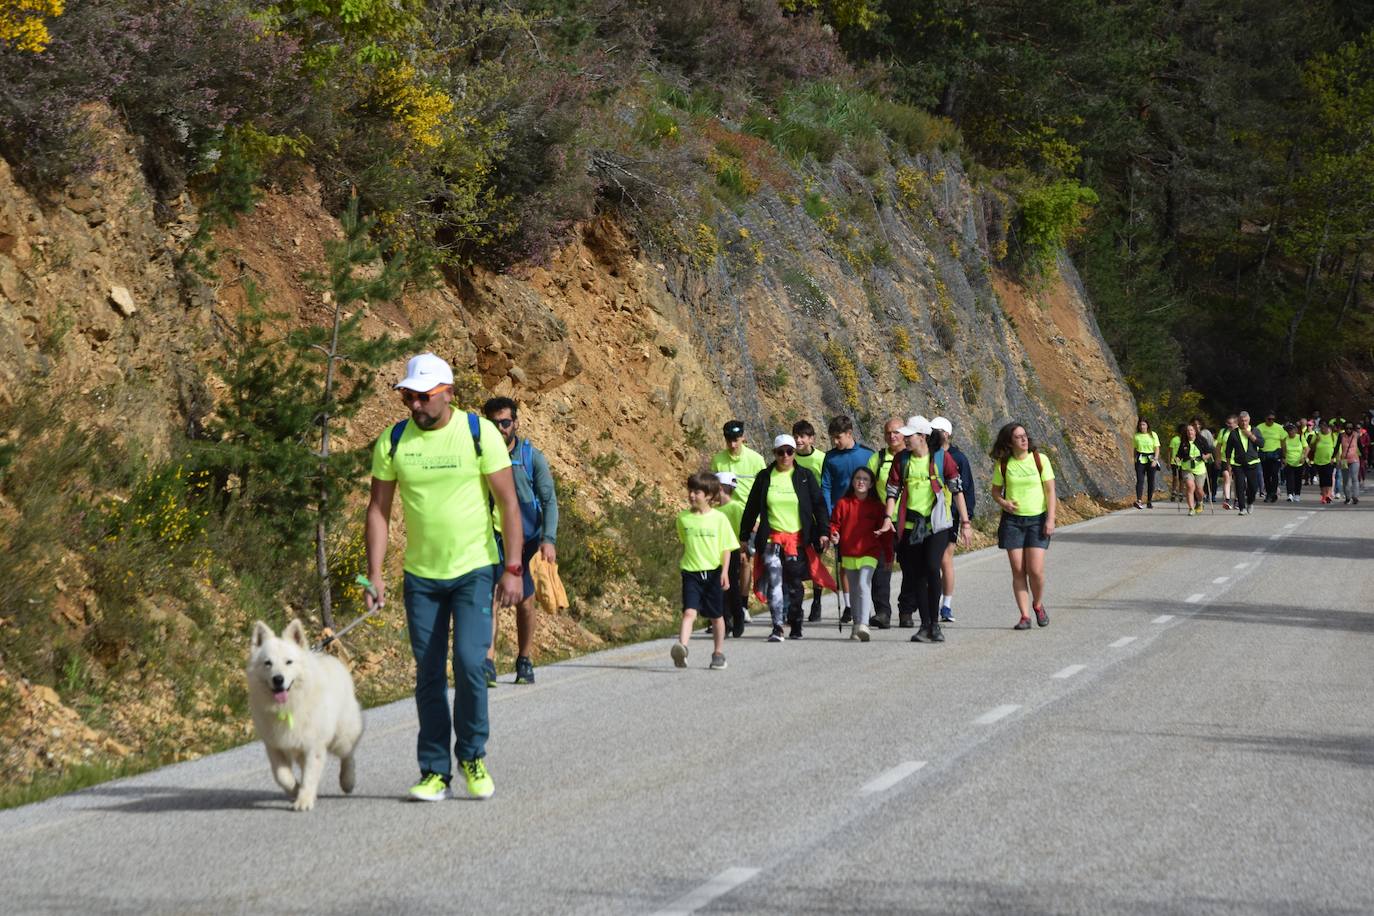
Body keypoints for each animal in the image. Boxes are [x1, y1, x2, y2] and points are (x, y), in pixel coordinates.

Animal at [247, 620, 362, 813]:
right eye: (267, 663)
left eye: (288, 662)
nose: (278, 679)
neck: (288, 707)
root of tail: (330, 658)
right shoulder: (275, 746)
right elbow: (282, 776)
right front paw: (295, 790)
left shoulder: (312, 747)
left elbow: (309, 776)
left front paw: (304, 801)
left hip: (341, 737)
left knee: (348, 755)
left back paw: (348, 781)